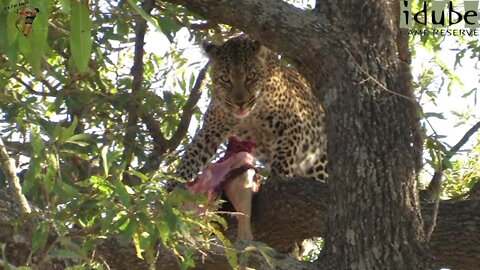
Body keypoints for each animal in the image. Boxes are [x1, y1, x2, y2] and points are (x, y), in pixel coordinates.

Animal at [177, 34, 330, 184]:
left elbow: (283, 155)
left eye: (250, 76)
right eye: (225, 79)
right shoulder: (210, 132)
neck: (249, 117)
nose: (240, 103)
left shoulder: (291, 124)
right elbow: (190, 158)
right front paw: (175, 184)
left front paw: (277, 176)